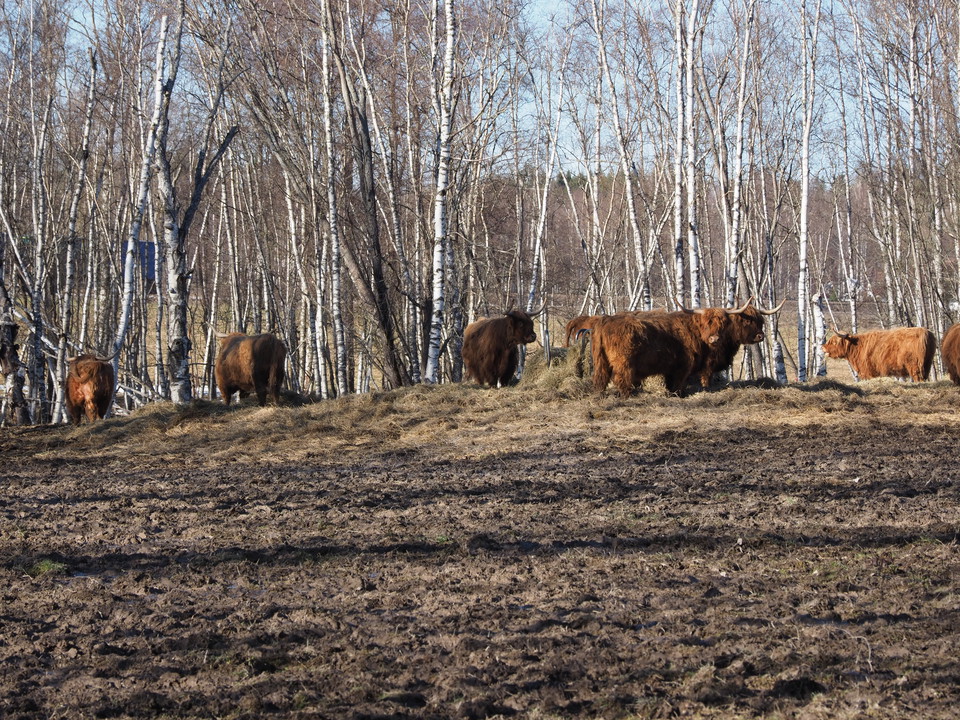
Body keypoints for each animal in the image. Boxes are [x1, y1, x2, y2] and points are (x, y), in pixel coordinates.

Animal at [591, 308, 732, 396]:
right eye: (706, 324)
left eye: (722, 325)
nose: (715, 339)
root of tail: (607, 319)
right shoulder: (683, 364)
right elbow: (678, 382)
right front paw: (678, 395)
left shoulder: (670, 368)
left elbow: (670, 382)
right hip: (623, 362)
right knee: (621, 378)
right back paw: (627, 395)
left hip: (600, 360)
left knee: (601, 378)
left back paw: (600, 395)